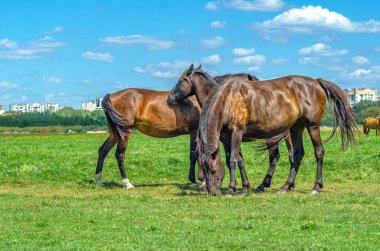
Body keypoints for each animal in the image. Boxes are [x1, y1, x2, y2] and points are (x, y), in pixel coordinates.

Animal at [197, 74, 358, 196]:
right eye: (203, 170)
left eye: (213, 170)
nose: (213, 193)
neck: (228, 98)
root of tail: (316, 81)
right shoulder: (227, 137)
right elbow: (238, 160)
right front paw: (244, 188)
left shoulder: (237, 132)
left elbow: (233, 160)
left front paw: (231, 190)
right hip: (296, 128)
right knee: (297, 155)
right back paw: (285, 187)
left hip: (312, 126)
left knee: (319, 152)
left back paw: (316, 187)